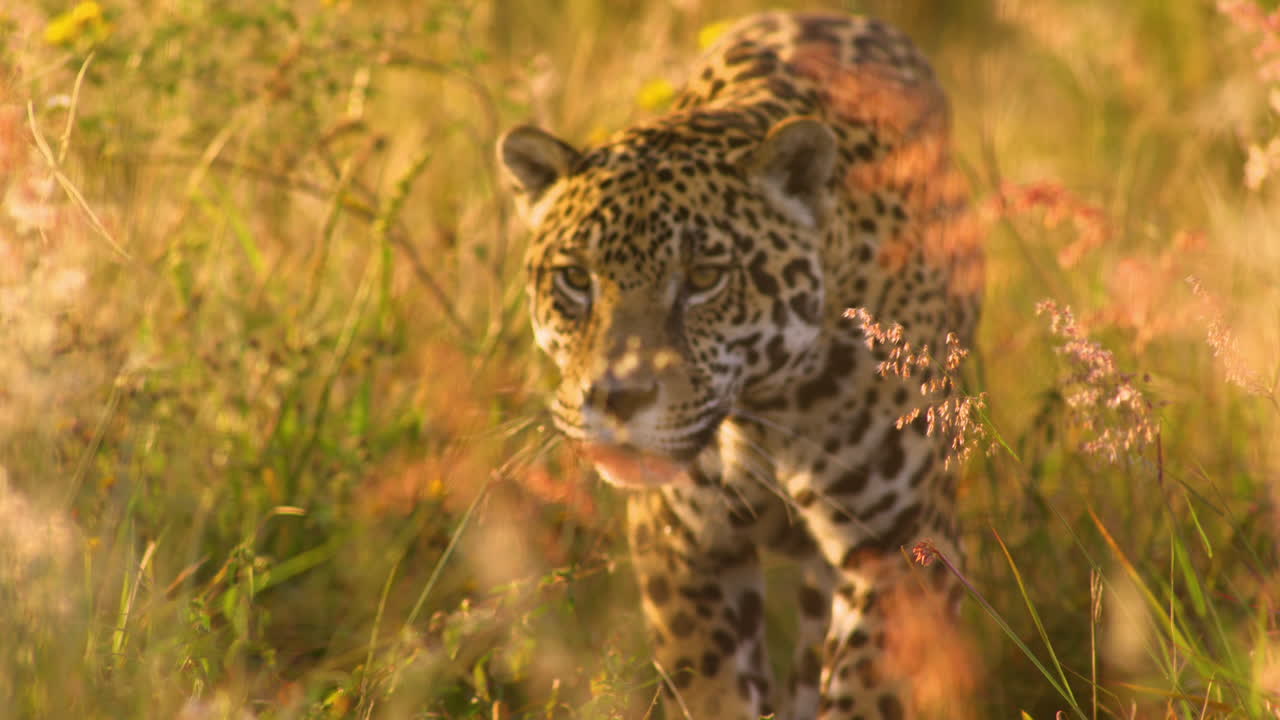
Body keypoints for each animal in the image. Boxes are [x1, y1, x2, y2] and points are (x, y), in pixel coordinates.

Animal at [497, 11, 984, 720]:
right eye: (575, 280)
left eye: (704, 278)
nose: (616, 397)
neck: (765, 411)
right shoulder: (681, 543)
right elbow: (712, 685)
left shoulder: (904, 544)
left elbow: (868, 691)